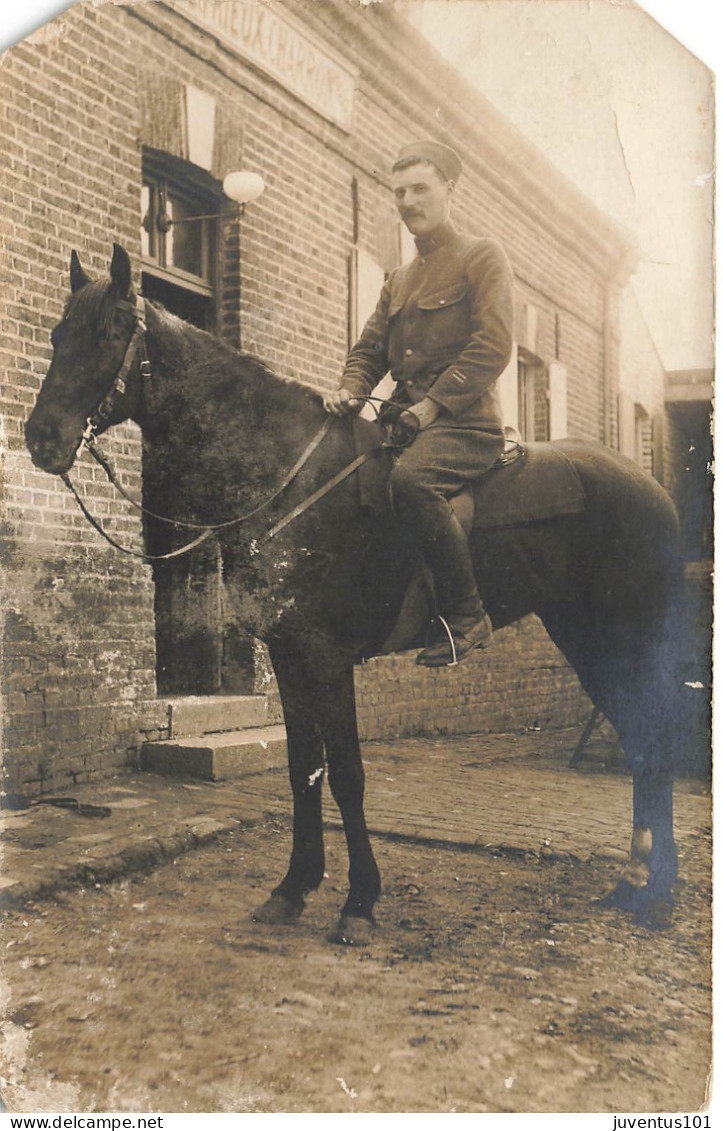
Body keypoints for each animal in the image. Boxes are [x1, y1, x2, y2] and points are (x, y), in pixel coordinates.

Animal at [25, 245, 683, 936]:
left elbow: (345, 774)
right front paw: (293, 887)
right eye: (57, 334)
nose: (41, 438)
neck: (288, 477)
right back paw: (637, 883)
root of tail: (653, 490)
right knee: (642, 738)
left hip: (619, 639)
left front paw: (359, 901)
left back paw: (651, 890)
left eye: (109, 333)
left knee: (652, 738)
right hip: (584, 638)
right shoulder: (289, 655)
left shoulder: (326, 657)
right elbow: (302, 771)